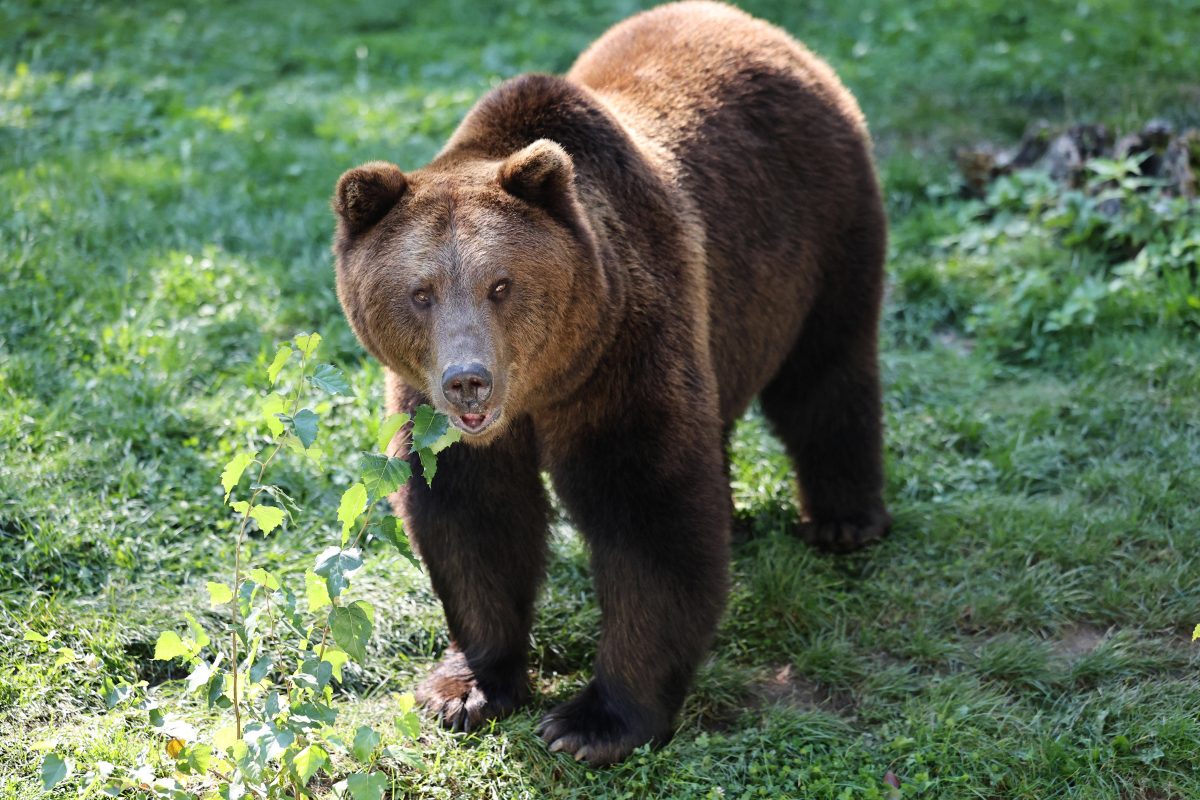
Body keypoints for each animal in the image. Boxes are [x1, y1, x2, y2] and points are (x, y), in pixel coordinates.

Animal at [333, 0, 888, 767]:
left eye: (501, 284)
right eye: (420, 292)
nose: (468, 382)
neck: (541, 389)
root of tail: (757, 29)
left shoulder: (620, 357)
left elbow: (647, 511)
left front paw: (592, 722)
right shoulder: (434, 411)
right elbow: (471, 514)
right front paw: (466, 688)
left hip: (820, 231)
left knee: (827, 372)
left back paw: (844, 521)